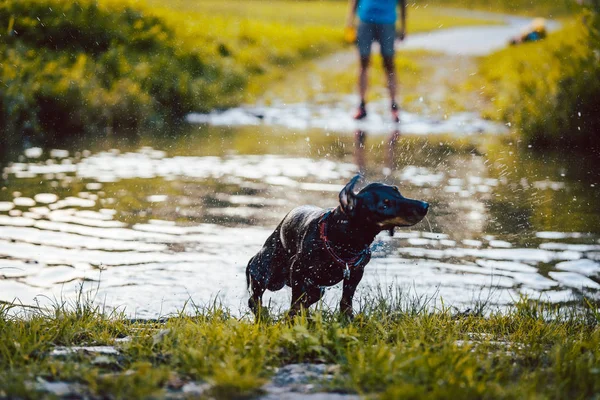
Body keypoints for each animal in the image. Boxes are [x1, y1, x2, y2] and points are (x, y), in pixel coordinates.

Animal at [246, 175, 428, 318]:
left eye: (397, 191)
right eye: (384, 205)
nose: (424, 206)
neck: (344, 240)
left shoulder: (356, 272)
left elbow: (346, 300)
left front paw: (347, 319)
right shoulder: (297, 271)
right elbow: (296, 303)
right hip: (265, 272)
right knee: (254, 298)